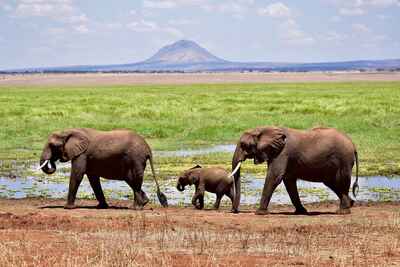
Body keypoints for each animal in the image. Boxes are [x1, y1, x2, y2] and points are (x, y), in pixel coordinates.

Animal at [38, 127, 167, 209]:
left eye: (52, 146)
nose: (52, 161)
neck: (68, 131)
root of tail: (148, 148)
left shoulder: (82, 154)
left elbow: (77, 174)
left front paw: (67, 207)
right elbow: (93, 179)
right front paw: (101, 207)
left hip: (136, 158)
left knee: (135, 178)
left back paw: (136, 207)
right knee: (131, 179)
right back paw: (143, 203)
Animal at [231, 126, 360, 217]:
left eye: (243, 144)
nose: (234, 210)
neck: (263, 129)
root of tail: (353, 145)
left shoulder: (283, 153)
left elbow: (274, 176)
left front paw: (259, 213)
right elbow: (289, 182)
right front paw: (301, 212)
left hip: (344, 159)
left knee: (342, 181)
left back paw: (343, 211)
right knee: (332, 183)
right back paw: (350, 204)